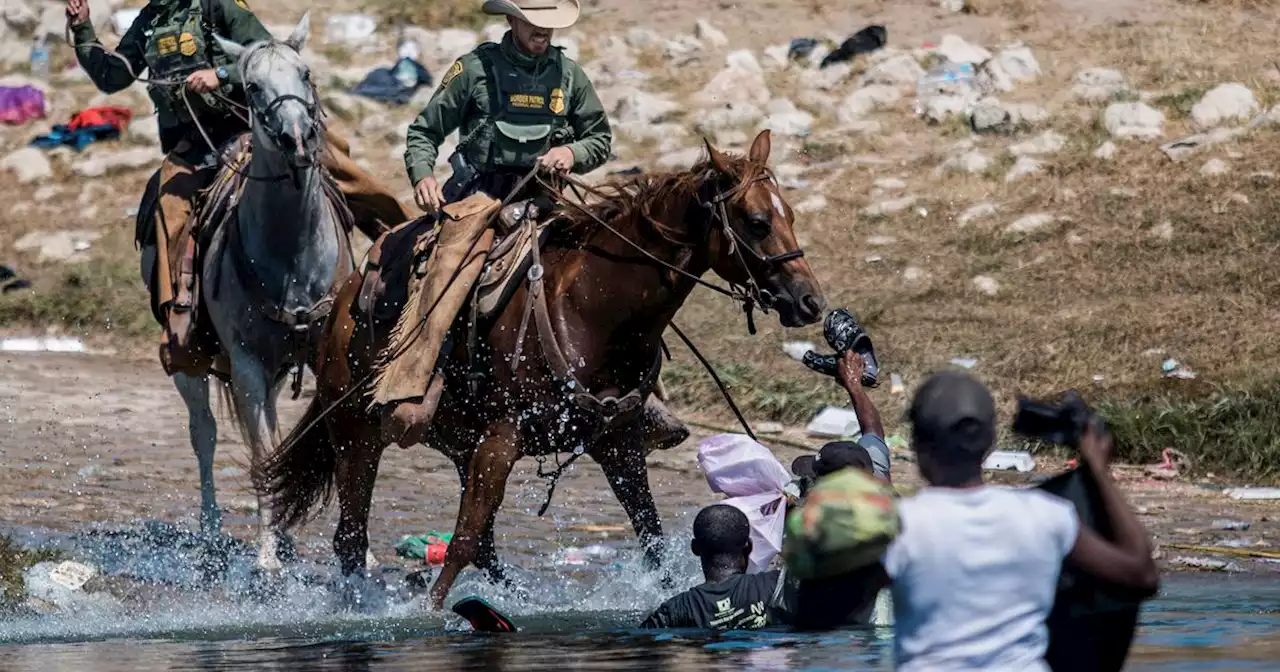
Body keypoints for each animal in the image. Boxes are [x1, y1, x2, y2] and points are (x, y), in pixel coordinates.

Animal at [257, 128, 829, 604]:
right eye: (757, 223)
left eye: (790, 215)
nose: (810, 302)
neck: (593, 310)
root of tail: (343, 300)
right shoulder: (503, 438)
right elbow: (462, 540)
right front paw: (429, 613)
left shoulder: (618, 445)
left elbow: (651, 538)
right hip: (356, 432)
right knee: (353, 537)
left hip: (458, 442)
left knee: (481, 545)